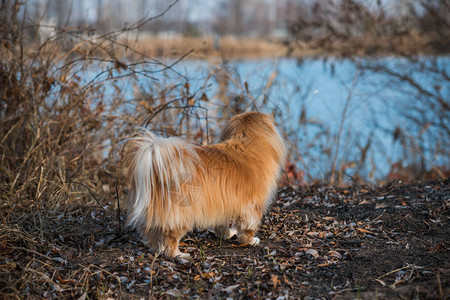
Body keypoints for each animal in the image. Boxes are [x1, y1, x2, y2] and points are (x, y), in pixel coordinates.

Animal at [123, 111, 286, 256]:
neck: (246, 145)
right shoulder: (252, 206)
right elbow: (248, 227)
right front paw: (250, 241)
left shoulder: (223, 203)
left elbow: (222, 224)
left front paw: (227, 234)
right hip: (182, 215)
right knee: (170, 240)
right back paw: (178, 255)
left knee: (153, 235)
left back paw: (157, 249)